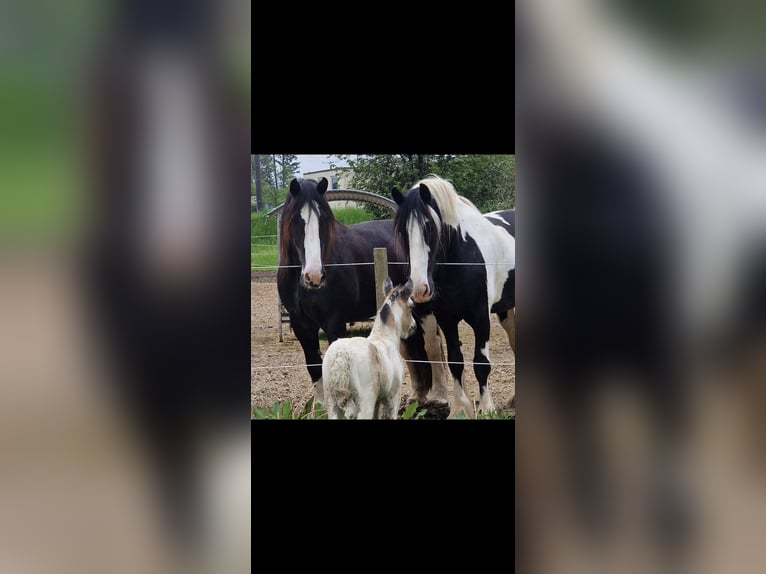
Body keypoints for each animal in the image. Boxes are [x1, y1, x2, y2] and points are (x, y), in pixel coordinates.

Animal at [277, 177, 444, 402]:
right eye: (296, 220)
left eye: (324, 219)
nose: (314, 275)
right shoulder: (301, 326)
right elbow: (314, 369)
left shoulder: (335, 323)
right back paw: (418, 397)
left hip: (425, 305)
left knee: (432, 345)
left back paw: (439, 396)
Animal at [323, 277, 415, 419]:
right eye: (411, 306)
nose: (414, 326)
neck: (384, 337)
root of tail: (341, 356)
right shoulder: (393, 397)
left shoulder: (377, 401)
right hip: (365, 403)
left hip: (332, 404)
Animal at [392, 175, 516, 417]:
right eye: (402, 231)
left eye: (429, 227)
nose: (419, 288)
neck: (462, 258)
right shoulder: (447, 319)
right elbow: (455, 362)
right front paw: (460, 409)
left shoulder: (481, 318)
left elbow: (481, 363)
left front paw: (486, 409)